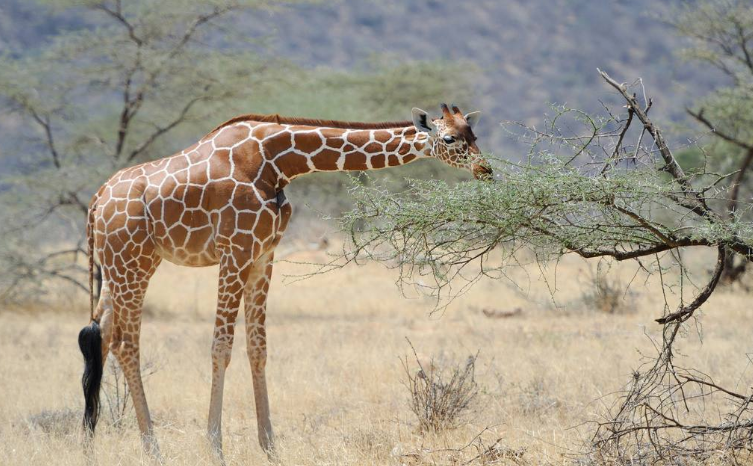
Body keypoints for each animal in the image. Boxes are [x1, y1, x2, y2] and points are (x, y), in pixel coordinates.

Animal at [78, 103, 488, 458]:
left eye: (474, 134)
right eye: (450, 139)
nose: (486, 170)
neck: (277, 162)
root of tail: (96, 202)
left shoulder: (263, 254)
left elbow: (258, 348)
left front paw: (269, 445)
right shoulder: (235, 250)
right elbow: (220, 348)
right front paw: (215, 447)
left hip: (120, 266)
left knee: (100, 336)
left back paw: (90, 444)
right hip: (132, 262)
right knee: (126, 344)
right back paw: (152, 448)